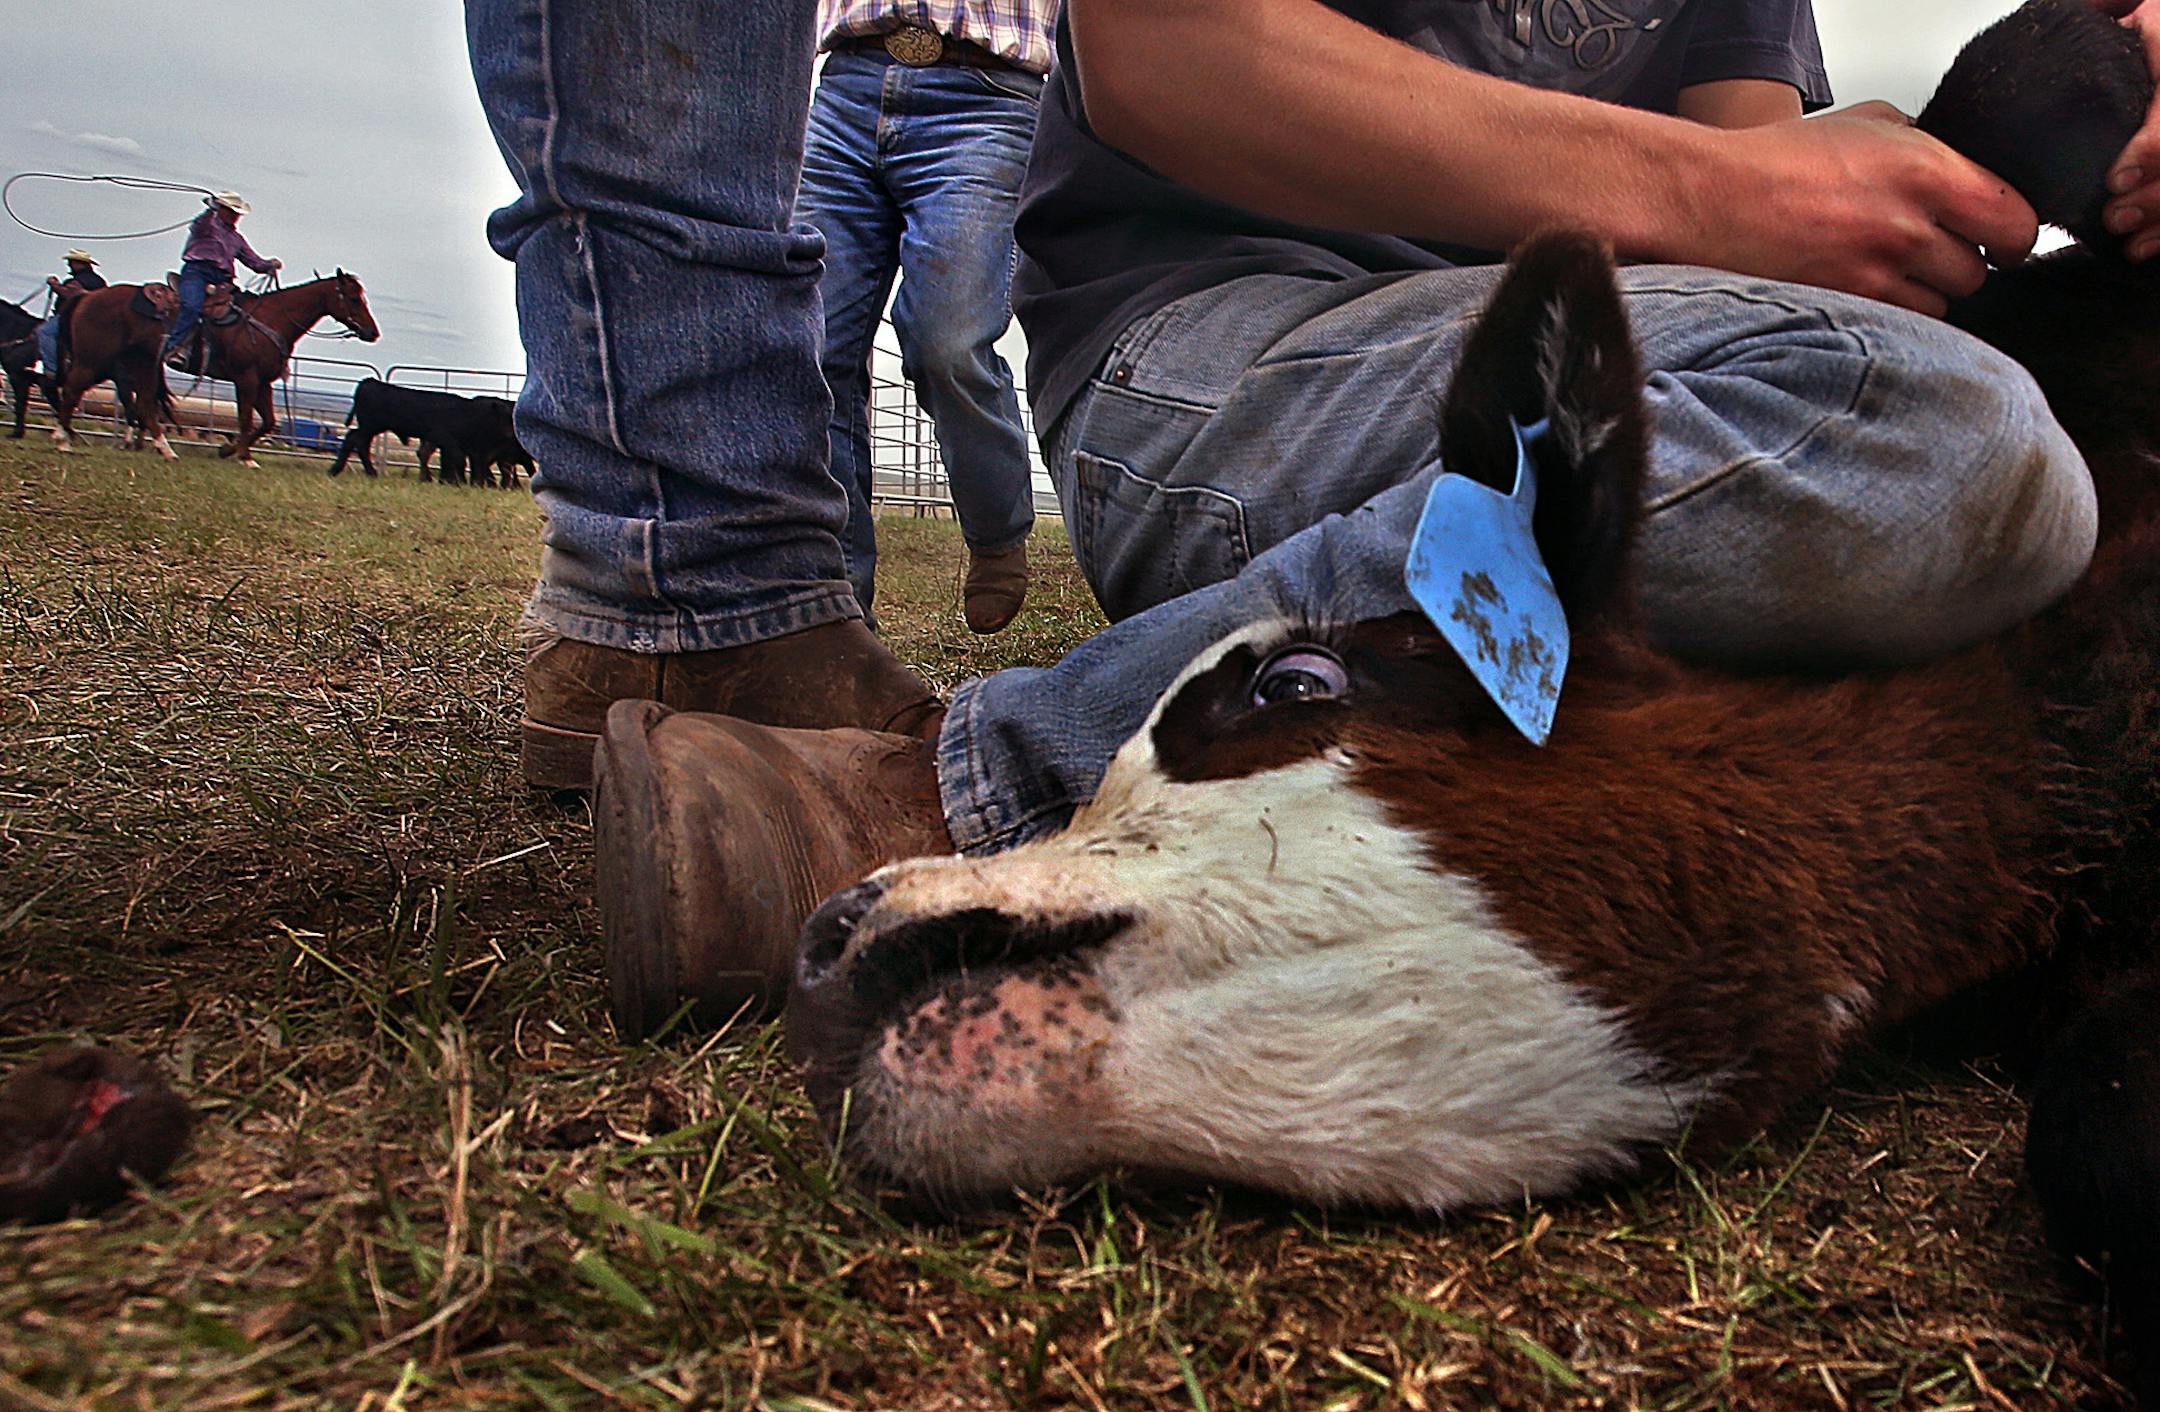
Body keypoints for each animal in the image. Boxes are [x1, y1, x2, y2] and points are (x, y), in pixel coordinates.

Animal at [328, 378, 518, 485]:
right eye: (507, 416)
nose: (513, 433)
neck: (468, 413)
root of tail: (369, 382)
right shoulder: (447, 440)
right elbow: (456, 459)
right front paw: (458, 481)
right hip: (370, 426)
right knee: (358, 441)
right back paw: (369, 472)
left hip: (370, 427)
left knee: (352, 437)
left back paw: (336, 470)